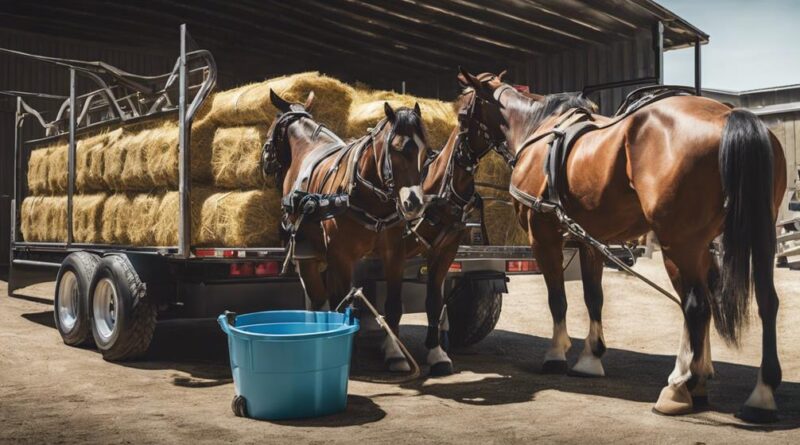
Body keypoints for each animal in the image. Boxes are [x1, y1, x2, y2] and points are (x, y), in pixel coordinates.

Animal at [268, 90, 432, 372]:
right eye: (397, 148)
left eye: (426, 151)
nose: (414, 203)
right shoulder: (340, 257)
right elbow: (341, 305)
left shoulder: (394, 254)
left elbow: (393, 305)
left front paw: (395, 354)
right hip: (311, 257)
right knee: (320, 300)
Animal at [460, 67, 784, 422]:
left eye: (462, 113)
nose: (459, 154)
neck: (538, 130)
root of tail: (729, 115)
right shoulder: (589, 241)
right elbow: (594, 298)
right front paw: (591, 357)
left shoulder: (542, 235)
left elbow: (557, 299)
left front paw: (556, 354)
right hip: (752, 238)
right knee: (764, 302)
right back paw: (757, 393)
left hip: (680, 244)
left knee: (696, 306)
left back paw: (680, 387)